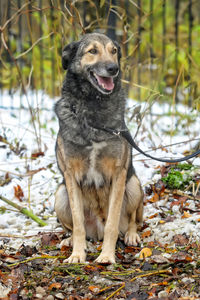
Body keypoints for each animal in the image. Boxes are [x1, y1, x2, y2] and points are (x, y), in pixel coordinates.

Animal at [54, 32, 143, 262]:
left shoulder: (119, 174)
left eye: (114, 51)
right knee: (73, 228)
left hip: (133, 185)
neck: (93, 109)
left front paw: (107, 257)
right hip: (60, 194)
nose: (113, 68)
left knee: (133, 221)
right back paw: (72, 241)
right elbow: (77, 225)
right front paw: (77, 255)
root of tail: (97, 231)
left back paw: (131, 235)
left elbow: (112, 223)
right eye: (92, 51)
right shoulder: (70, 176)